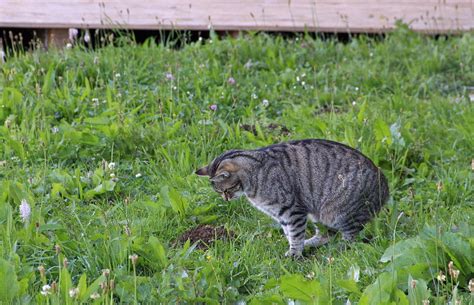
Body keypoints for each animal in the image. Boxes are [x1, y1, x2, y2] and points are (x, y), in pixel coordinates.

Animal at [195, 138, 388, 256]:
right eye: (220, 193)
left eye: (225, 191)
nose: (225, 199)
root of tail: (386, 188)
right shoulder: (281, 214)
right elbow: (290, 232)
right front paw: (297, 247)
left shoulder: (291, 209)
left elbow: (294, 233)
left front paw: (294, 253)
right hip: (320, 214)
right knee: (327, 235)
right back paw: (311, 243)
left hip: (340, 212)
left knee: (352, 237)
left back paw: (339, 249)